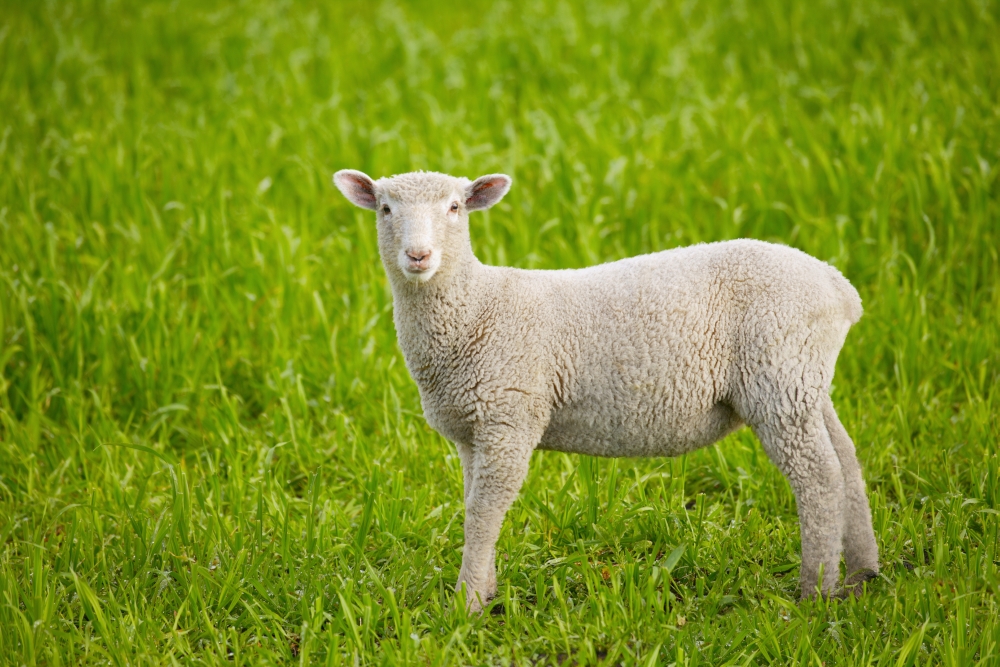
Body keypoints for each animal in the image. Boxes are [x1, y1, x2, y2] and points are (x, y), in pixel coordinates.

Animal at [333, 168, 880, 610]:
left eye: (454, 208)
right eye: (385, 209)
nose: (418, 255)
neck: (476, 308)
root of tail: (839, 288)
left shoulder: (510, 415)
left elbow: (485, 512)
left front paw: (465, 607)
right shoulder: (474, 429)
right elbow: (475, 506)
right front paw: (485, 593)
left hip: (778, 374)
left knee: (818, 477)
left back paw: (816, 593)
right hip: (804, 381)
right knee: (847, 463)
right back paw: (862, 575)